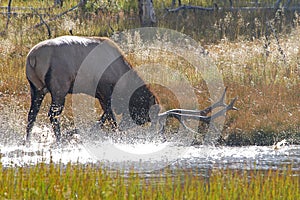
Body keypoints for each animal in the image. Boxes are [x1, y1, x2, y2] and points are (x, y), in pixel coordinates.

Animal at [25, 35, 237, 142]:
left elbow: (104, 117)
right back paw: (59, 140)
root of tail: (32, 58)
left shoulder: (101, 94)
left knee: (31, 116)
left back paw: (28, 141)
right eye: (155, 122)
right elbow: (110, 118)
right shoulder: (106, 91)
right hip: (59, 87)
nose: (160, 138)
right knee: (52, 115)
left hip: (36, 88)